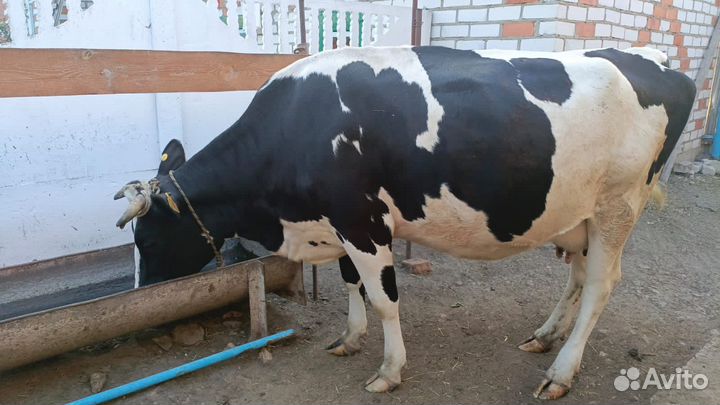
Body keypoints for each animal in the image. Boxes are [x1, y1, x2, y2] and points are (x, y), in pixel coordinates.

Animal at [114, 46, 695, 399]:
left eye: (150, 239)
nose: (142, 305)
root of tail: (659, 62)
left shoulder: (362, 220)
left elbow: (384, 298)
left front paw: (389, 370)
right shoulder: (340, 225)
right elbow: (351, 284)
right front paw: (349, 338)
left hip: (619, 205)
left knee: (600, 285)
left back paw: (561, 372)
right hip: (576, 214)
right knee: (575, 278)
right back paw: (544, 337)